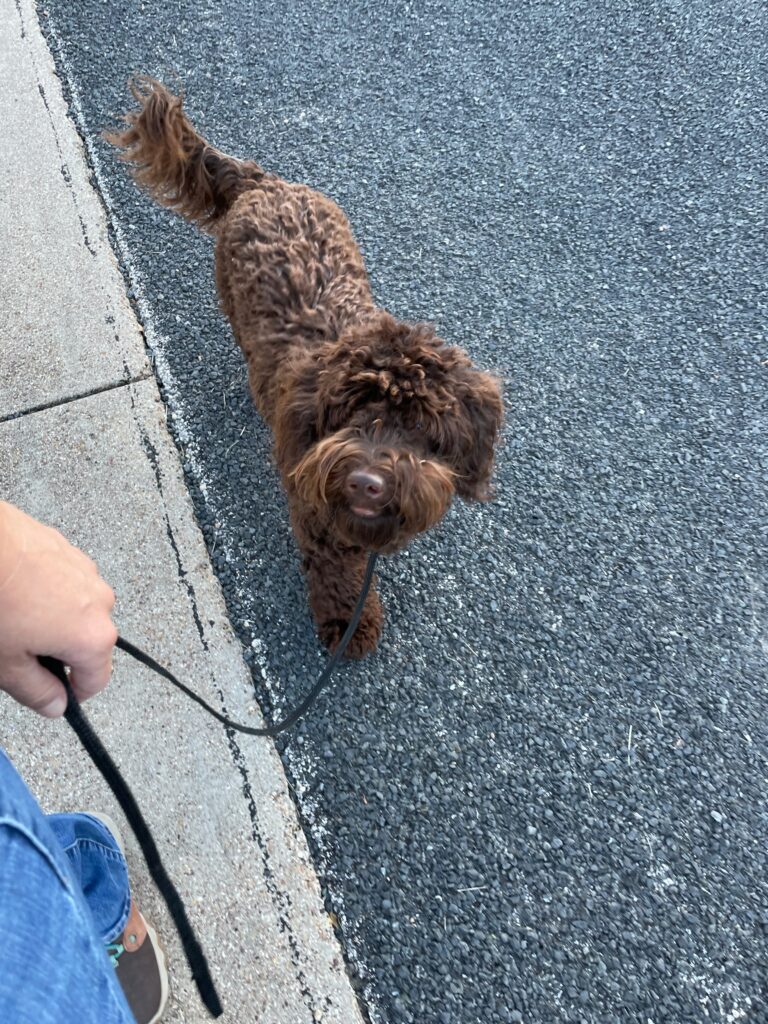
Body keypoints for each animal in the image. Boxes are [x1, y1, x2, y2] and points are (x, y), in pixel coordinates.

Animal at [109, 77, 505, 655]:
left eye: (420, 426)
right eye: (352, 413)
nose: (367, 483)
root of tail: (264, 181)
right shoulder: (317, 514)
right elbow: (337, 575)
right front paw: (348, 626)